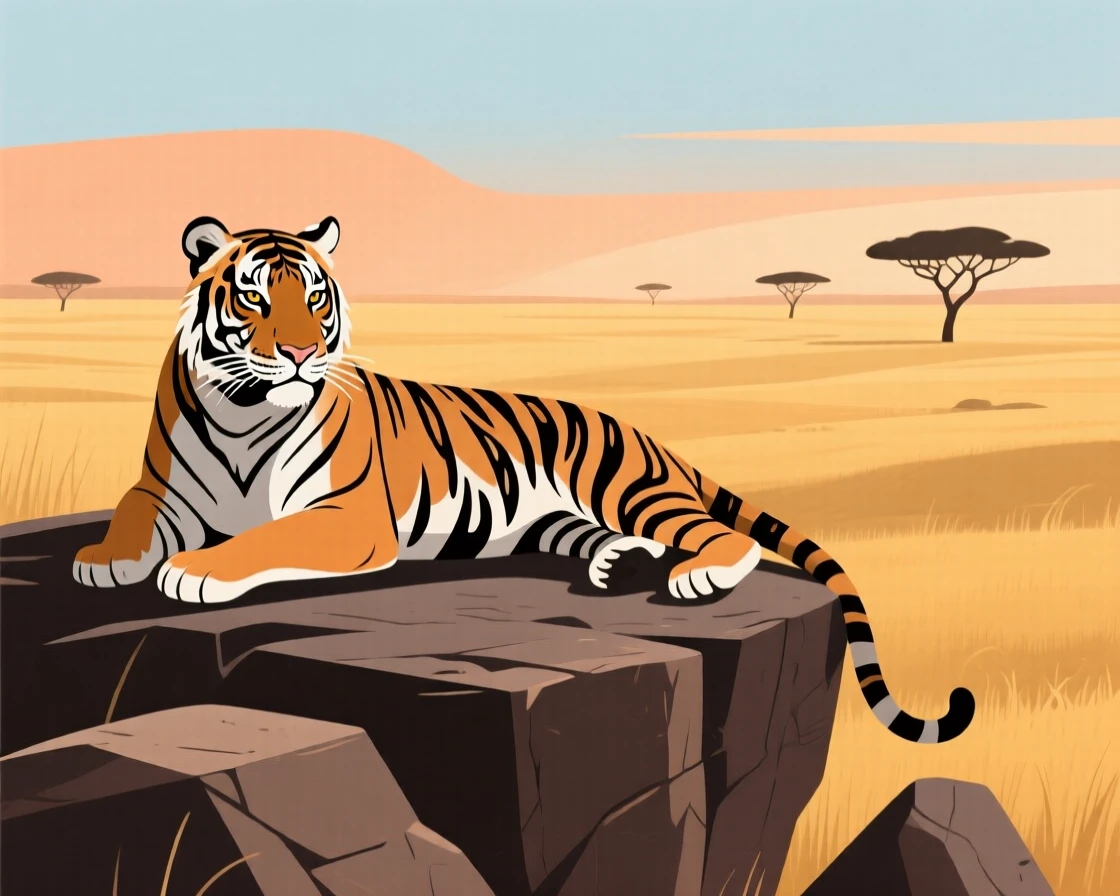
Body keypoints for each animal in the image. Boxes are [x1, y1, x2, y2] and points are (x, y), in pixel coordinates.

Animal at [72, 214, 976, 745]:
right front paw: (102, 559)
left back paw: (695, 576)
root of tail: (650, 435)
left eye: (316, 298)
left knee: (718, 535)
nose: (299, 353)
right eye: (256, 299)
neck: (244, 407)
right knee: (613, 539)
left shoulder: (349, 518)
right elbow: (130, 517)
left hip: (629, 485)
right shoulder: (161, 488)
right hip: (547, 518)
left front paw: (193, 572)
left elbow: (264, 538)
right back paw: (618, 562)